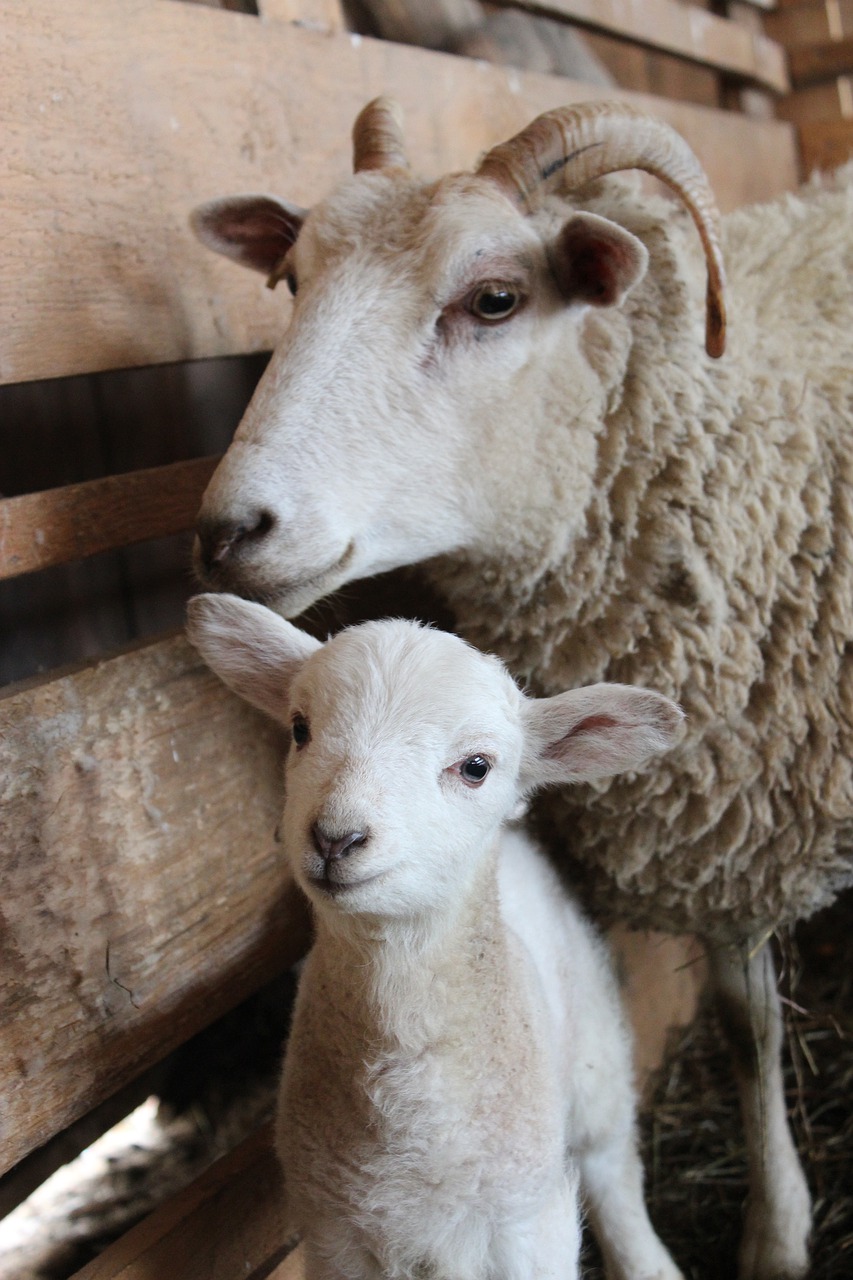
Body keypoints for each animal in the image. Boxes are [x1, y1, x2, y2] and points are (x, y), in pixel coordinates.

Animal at [185, 593, 686, 1280]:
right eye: (300, 729)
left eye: (476, 767)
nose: (335, 838)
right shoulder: (336, 1237)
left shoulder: (530, 1223)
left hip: (592, 1051)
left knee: (613, 1162)